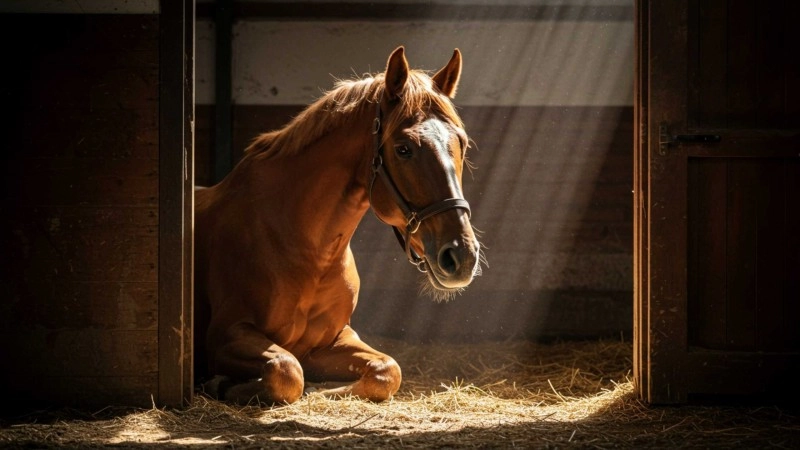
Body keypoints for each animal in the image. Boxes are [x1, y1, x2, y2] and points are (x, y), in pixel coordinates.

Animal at [194, 46, 482, 405]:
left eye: (462, 143)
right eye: (403, 149)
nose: (462, 257)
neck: (309, 252)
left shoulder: (333, 338)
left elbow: (388, 369)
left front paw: (327, 390)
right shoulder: (226, 334)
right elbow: (287, 370)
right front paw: (220, 383)